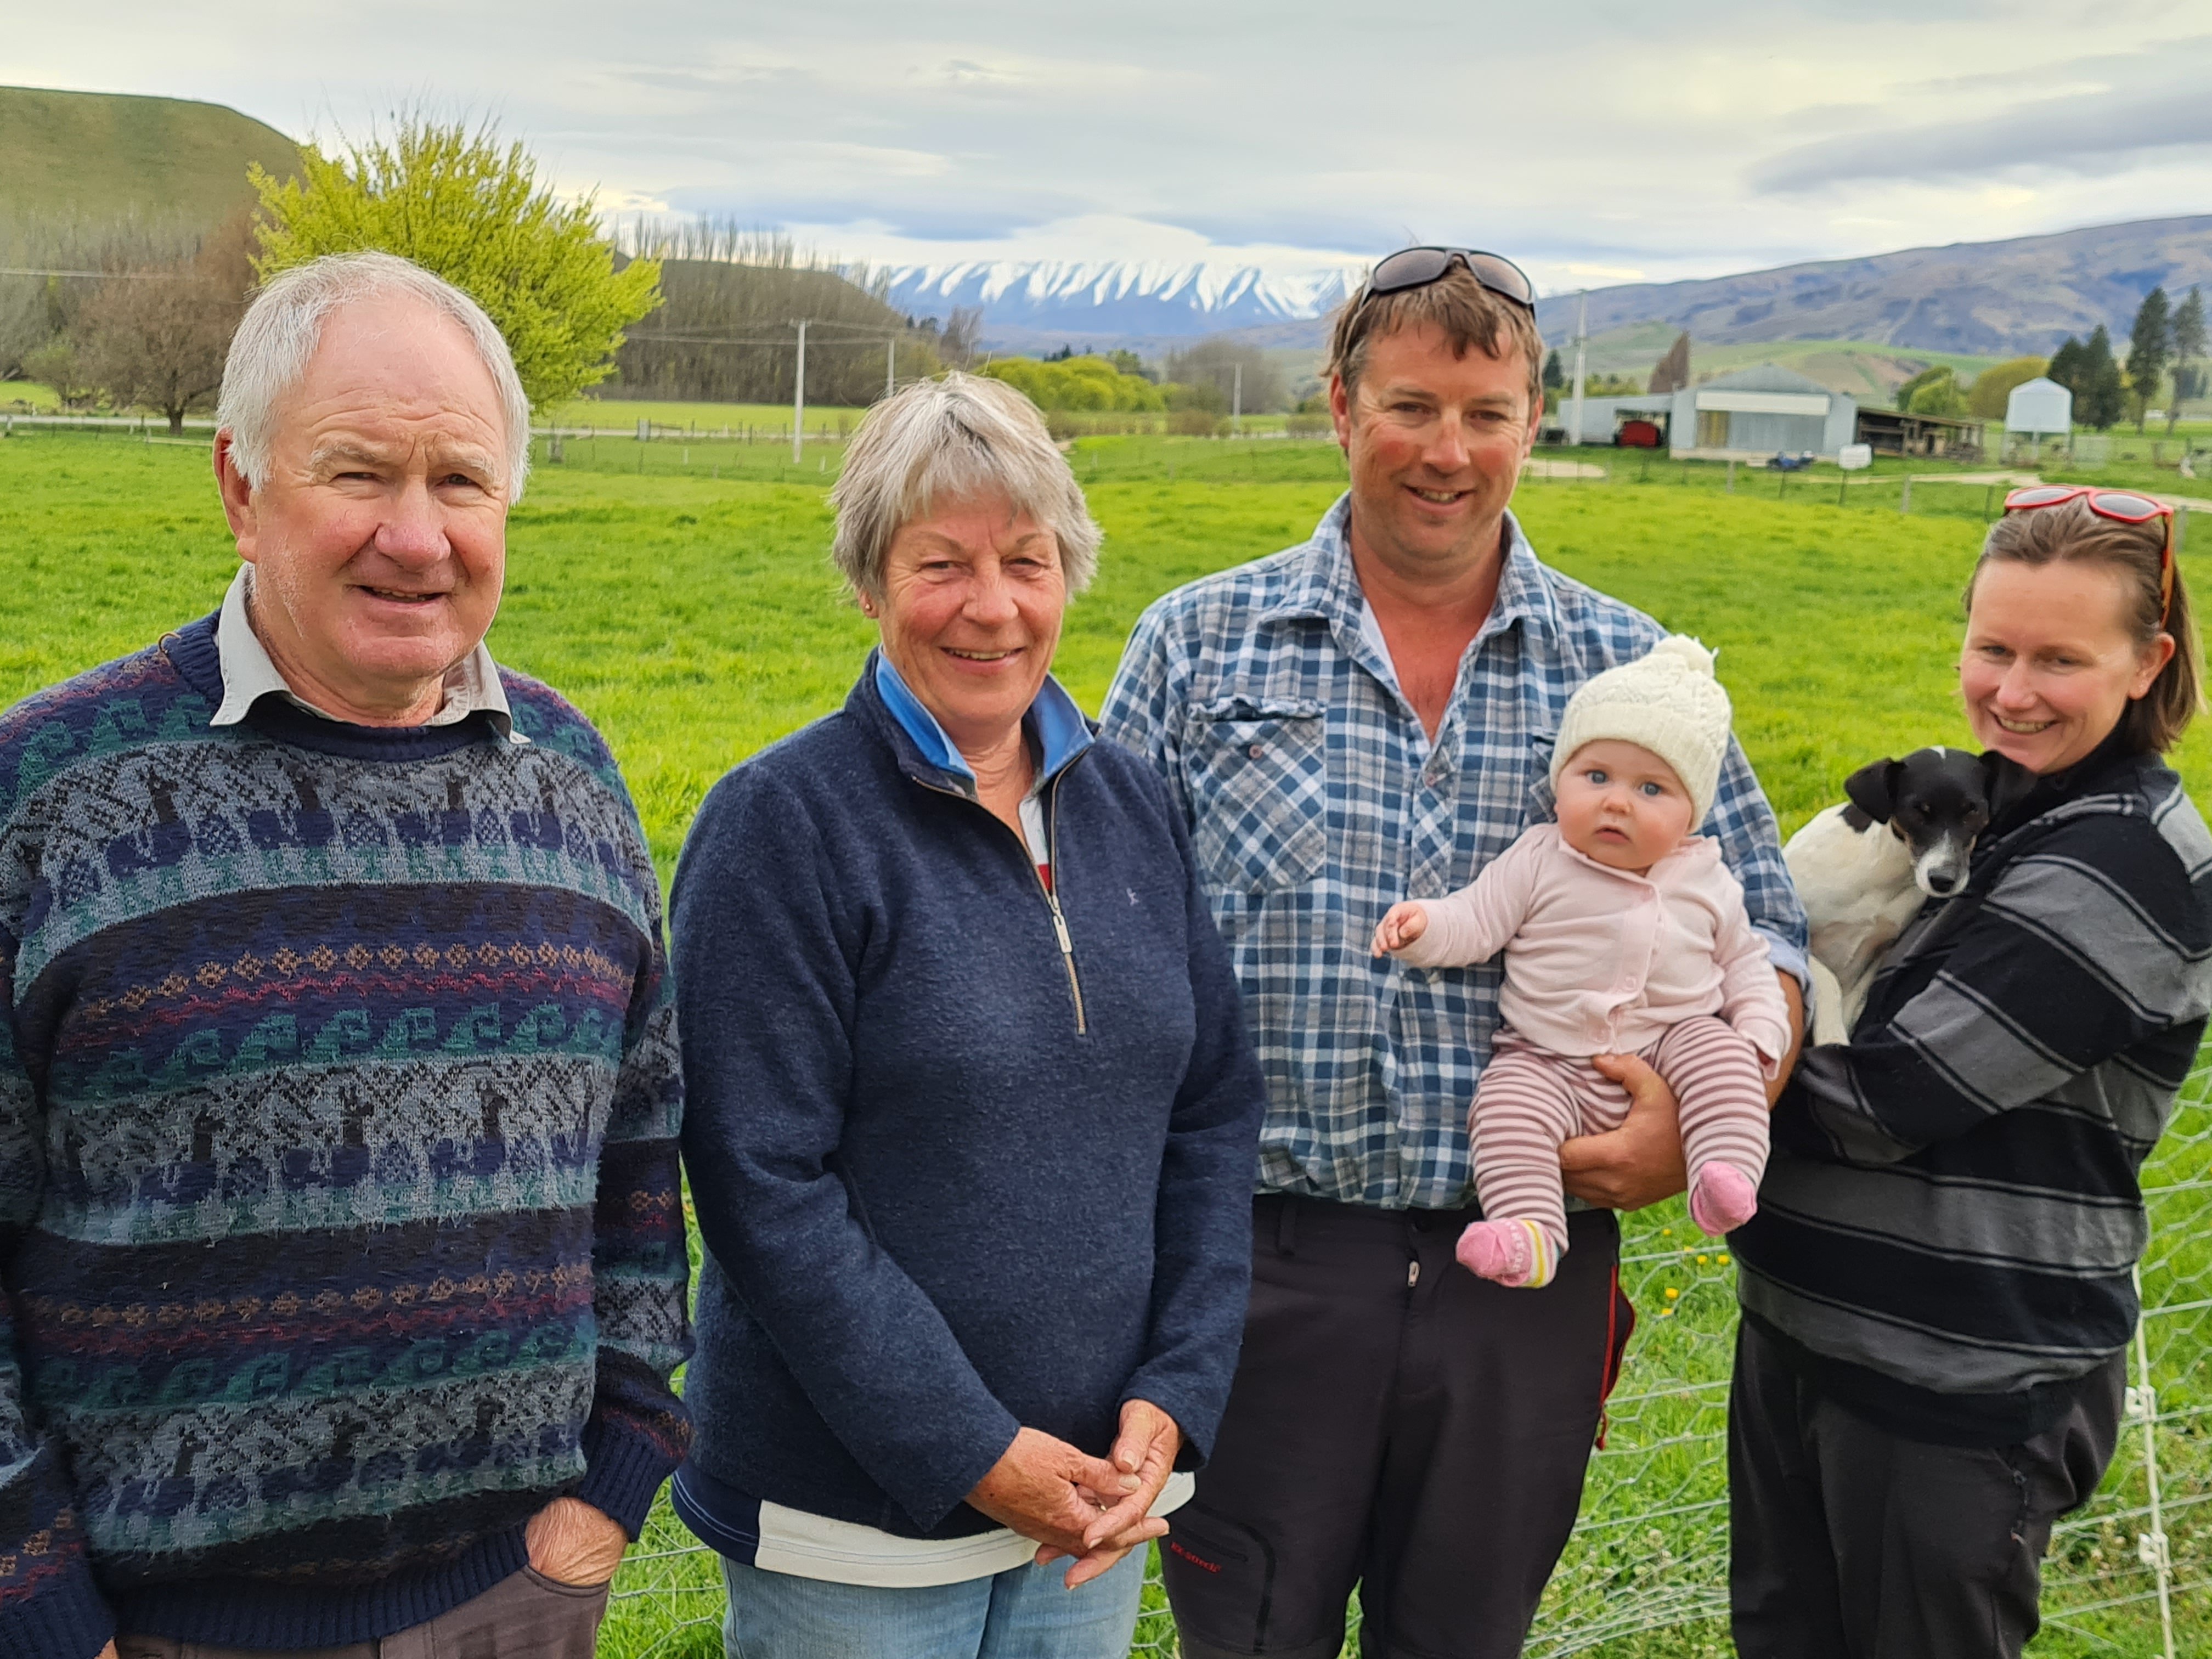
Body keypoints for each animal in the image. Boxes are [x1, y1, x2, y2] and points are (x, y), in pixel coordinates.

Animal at [1787, 752, 2026, 1040]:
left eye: (1973, 810)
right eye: (1917, 811)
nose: (1943, 881)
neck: (1881, 868)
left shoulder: (1877, 955)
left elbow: (1851, 1005)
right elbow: (1827, 978)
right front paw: (1830, 1036)